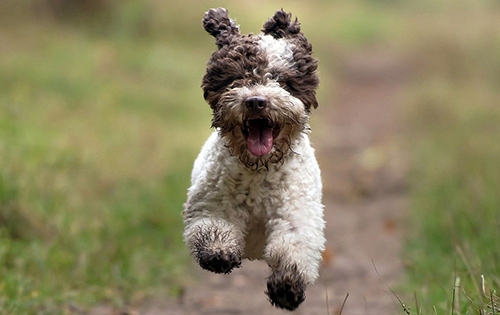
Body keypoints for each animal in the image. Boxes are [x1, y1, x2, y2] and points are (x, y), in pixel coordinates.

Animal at [182, 8, 326, 312]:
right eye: (238, 78)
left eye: (282, 80)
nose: (256, 101)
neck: (259, 168)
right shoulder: (211, 205)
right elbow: (212, 227)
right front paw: (219, 253)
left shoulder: (297, 214)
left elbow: (293, 245)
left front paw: (287, 287)